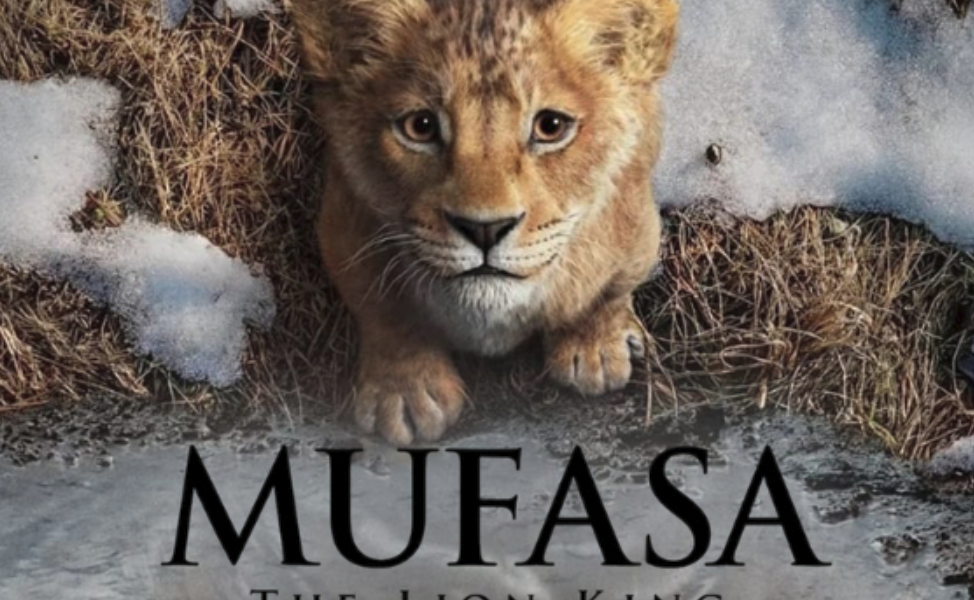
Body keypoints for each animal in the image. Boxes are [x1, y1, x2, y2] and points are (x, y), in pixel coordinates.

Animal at [290, 0, 679, 445]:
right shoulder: (343, 225)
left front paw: (595, 347)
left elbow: (608, 289)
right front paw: (405, 392)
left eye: (551, 127)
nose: (484, 229)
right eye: (420, 126)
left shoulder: (637, 225)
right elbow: (384, 310)